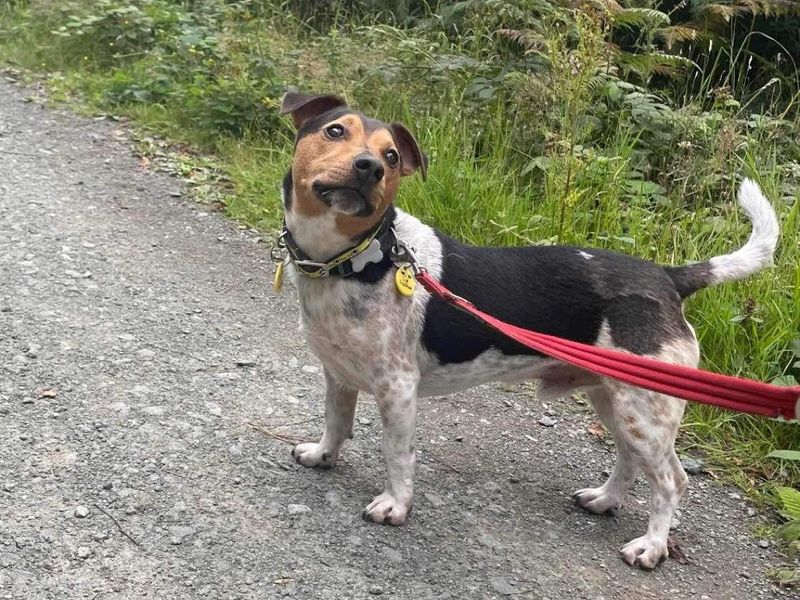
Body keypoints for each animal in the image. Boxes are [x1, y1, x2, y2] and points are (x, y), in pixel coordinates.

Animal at [276, 91, 780, 568]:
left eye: (393, 156)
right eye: (336, 130)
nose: (370, 168)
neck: (356, 259)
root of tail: (668, 277)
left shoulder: (397, 388)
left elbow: (397, 454)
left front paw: (395, 505)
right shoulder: (337, 373)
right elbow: (336, 421)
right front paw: (323, 455)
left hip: (644, 410)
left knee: (672, 481)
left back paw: (652, 547)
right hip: (615, 400)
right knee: (630, 460)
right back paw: (605, 500)